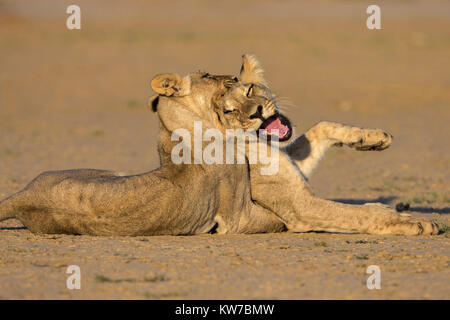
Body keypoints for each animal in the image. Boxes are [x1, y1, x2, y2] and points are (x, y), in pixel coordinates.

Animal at [0, 55, 438, 236]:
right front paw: (414, 222)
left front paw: (375, 139)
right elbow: (355, 214)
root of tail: (23, 197)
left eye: (249, 88)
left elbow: (320, 128)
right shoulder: (294, 208)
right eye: (227, 106)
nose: (258, 113)